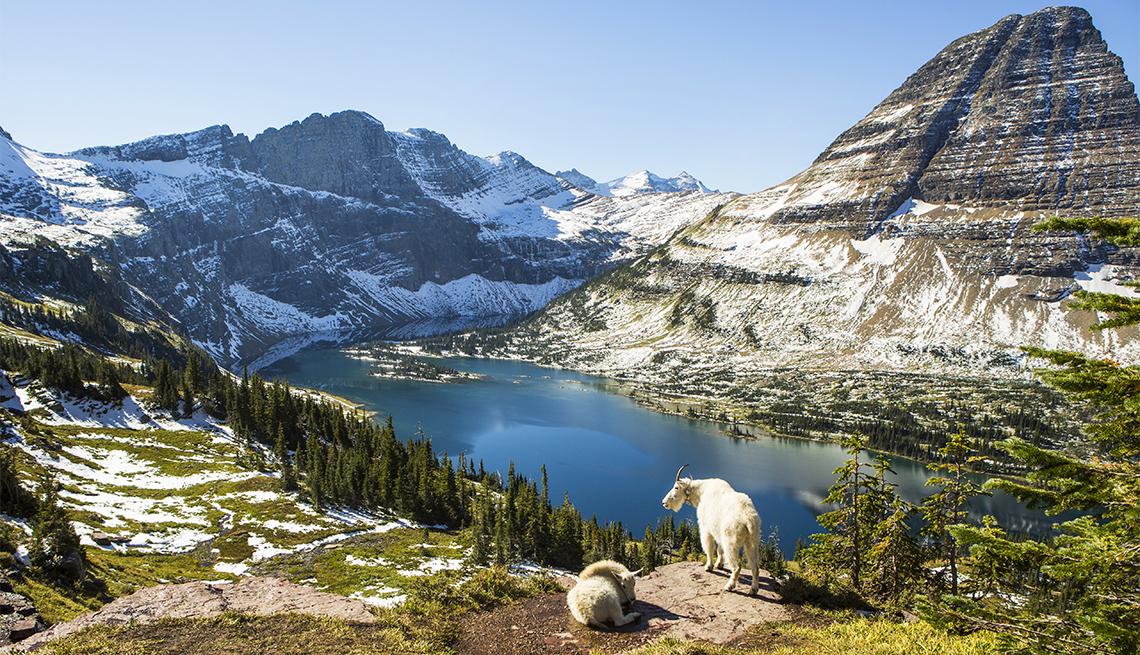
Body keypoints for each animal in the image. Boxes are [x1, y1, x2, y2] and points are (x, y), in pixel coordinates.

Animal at [665, 464, 761, 596]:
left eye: (676, 487)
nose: (664, 502)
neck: (701, 493)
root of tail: (748, 518)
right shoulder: (718, 533)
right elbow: (719, 550)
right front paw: (718, 565)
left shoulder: (706, 528)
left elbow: (709, 548)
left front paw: (708, 566)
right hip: (752, 542)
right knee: (755, 567)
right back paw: (753, 590)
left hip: (731, 542)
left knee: (737, 567)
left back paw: (729, 586)